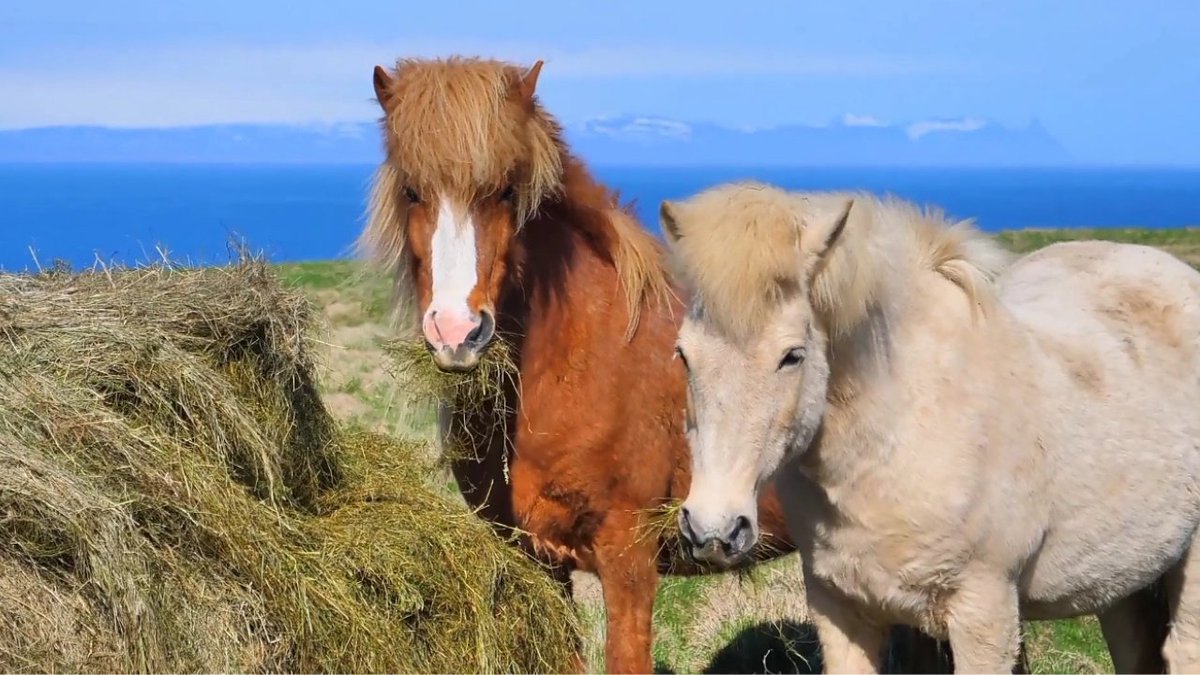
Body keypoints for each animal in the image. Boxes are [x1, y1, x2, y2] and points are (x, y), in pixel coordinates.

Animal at [660, 181, 1200, 673]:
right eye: (683, 354)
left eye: (791, 356)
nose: (712, 530)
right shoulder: (841, 610)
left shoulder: (984, 615)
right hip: (1121, 580)